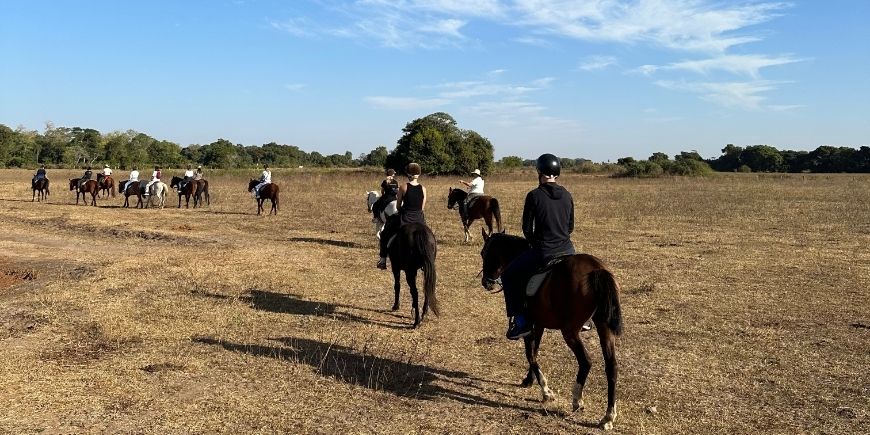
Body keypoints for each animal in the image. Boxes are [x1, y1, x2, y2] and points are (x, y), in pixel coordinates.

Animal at [476, 233, 628, 430]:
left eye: (484, 253)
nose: (486, 282)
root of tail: (596, 269)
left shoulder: (529, 324)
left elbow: (530, 354)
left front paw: (546, 391)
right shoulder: (539, 324)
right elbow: (535, 351)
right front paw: (529, 380)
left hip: (570, 331)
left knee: (586, 361)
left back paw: (577, 400)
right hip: (604, 327)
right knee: (611, 367)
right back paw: (608, 416)